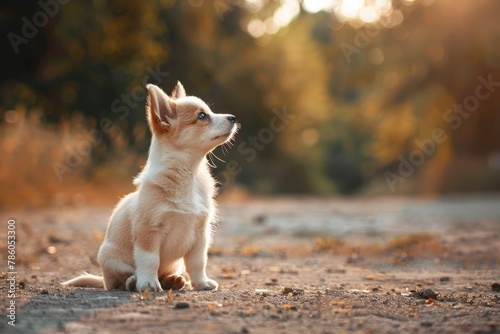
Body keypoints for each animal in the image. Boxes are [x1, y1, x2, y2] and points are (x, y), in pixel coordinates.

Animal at [62, 82, 238, 290]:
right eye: (202, 116)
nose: (233, 118)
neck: (190, 175)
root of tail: (103, 280)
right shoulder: (148, 231)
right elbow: (149, 260)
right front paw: (148, 283)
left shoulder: (201, 234)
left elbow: (198, 262)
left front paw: (202, 283)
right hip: (109, 258)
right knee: (119, 280)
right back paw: (133, 282)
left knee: (166, 274)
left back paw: (174, 280)